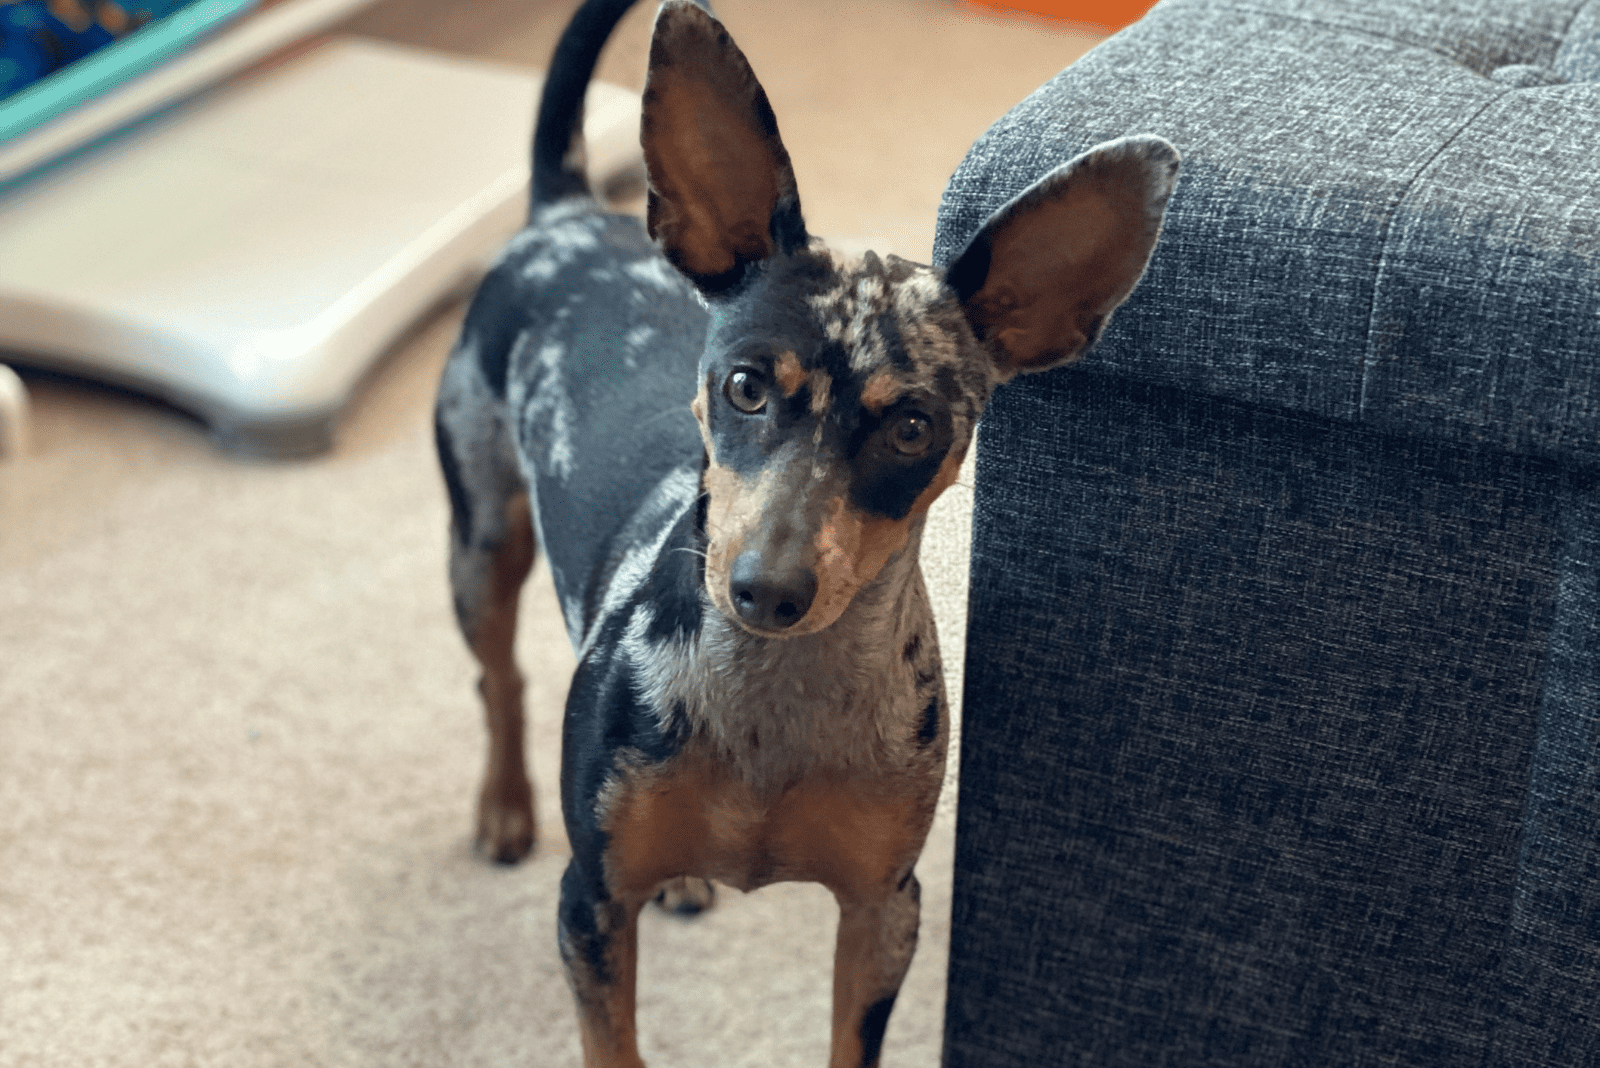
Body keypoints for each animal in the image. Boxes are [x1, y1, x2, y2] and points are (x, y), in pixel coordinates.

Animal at [432, 4, 1184, 1061]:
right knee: (497, 677)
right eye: (746, 386)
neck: (772, 709)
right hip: (481, 537)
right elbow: (614, 1041)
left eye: (912, 428)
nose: (767, 589)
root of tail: (564, 212)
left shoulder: (886, 909)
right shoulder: (590, 905)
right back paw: (505, 806)